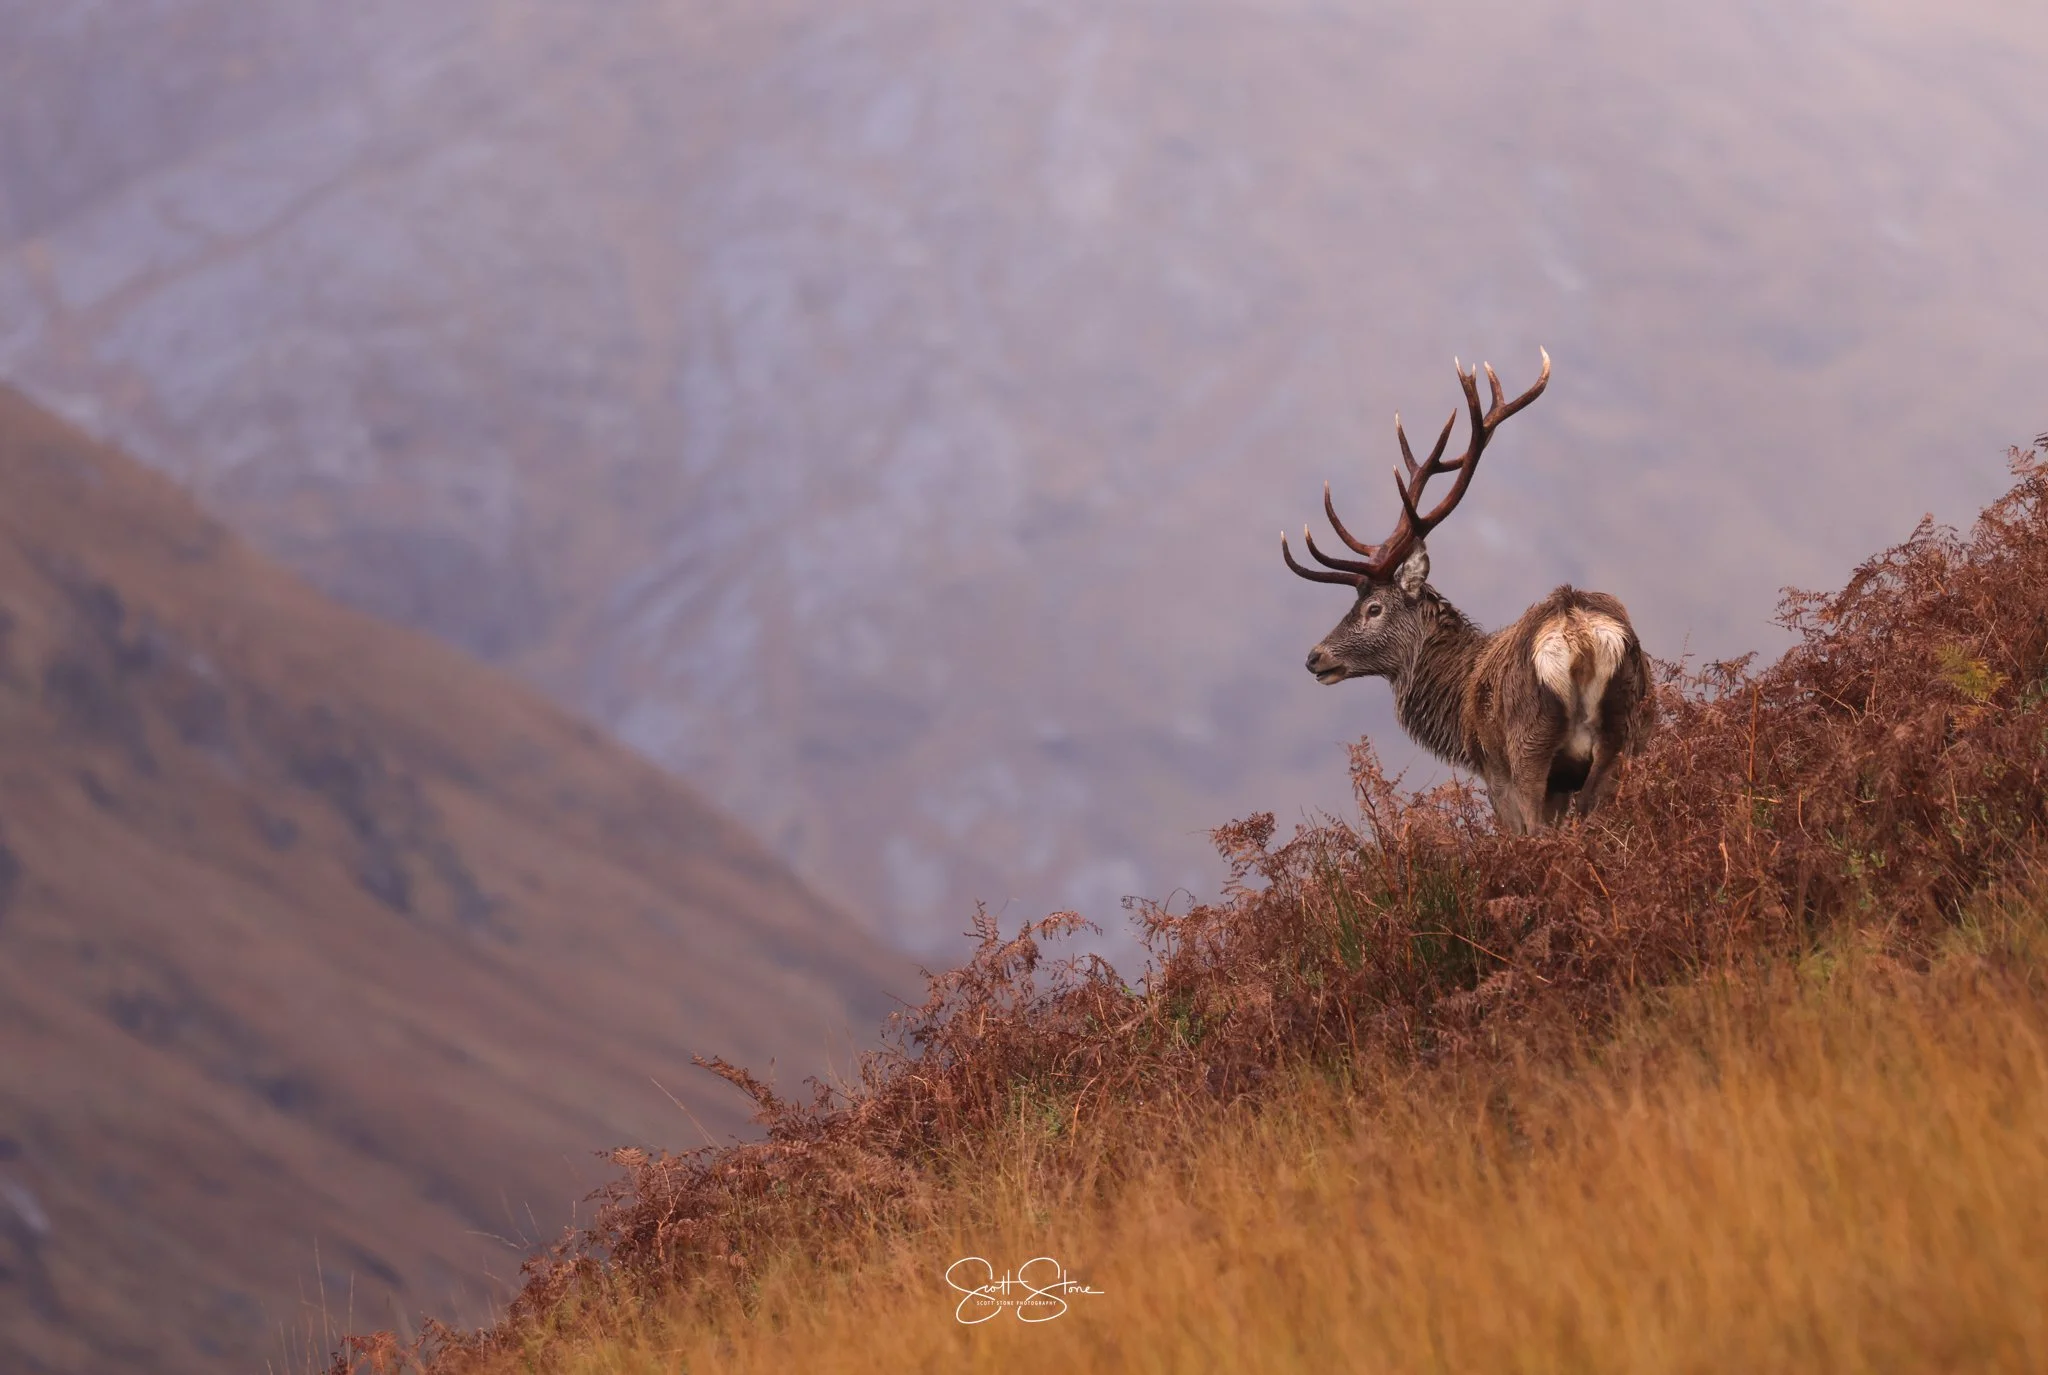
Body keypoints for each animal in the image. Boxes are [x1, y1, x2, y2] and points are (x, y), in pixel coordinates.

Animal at [1281, 350, 1651, 834]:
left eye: (1373, 608)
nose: (1314, 657)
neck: (1457, 708)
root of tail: (1579, 634)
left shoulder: (1494, 773)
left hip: (1529, 748)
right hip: (1631, 731)